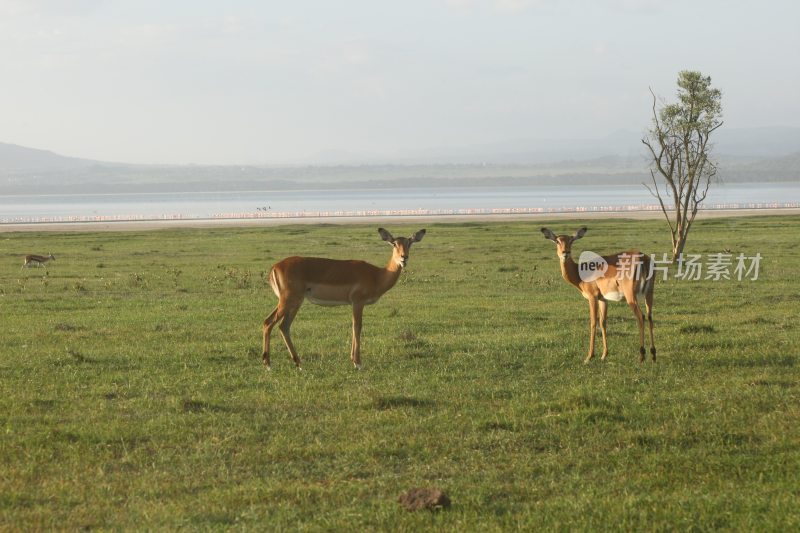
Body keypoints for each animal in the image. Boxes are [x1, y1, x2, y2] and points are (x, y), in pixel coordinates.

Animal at [262, 228, 424, 370]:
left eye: (410, 242)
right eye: (394, 243)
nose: (404, 257)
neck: (377, 275)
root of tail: (275, 267)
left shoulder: (354, 304)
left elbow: (354, 327)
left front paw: (353, 360)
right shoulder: (358, 302)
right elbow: (357, 327)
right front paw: (358, 363)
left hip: (294, 302)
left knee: (282, 326)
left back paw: (298, 363)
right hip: (288, 301)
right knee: (269, 323)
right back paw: (268, 365)